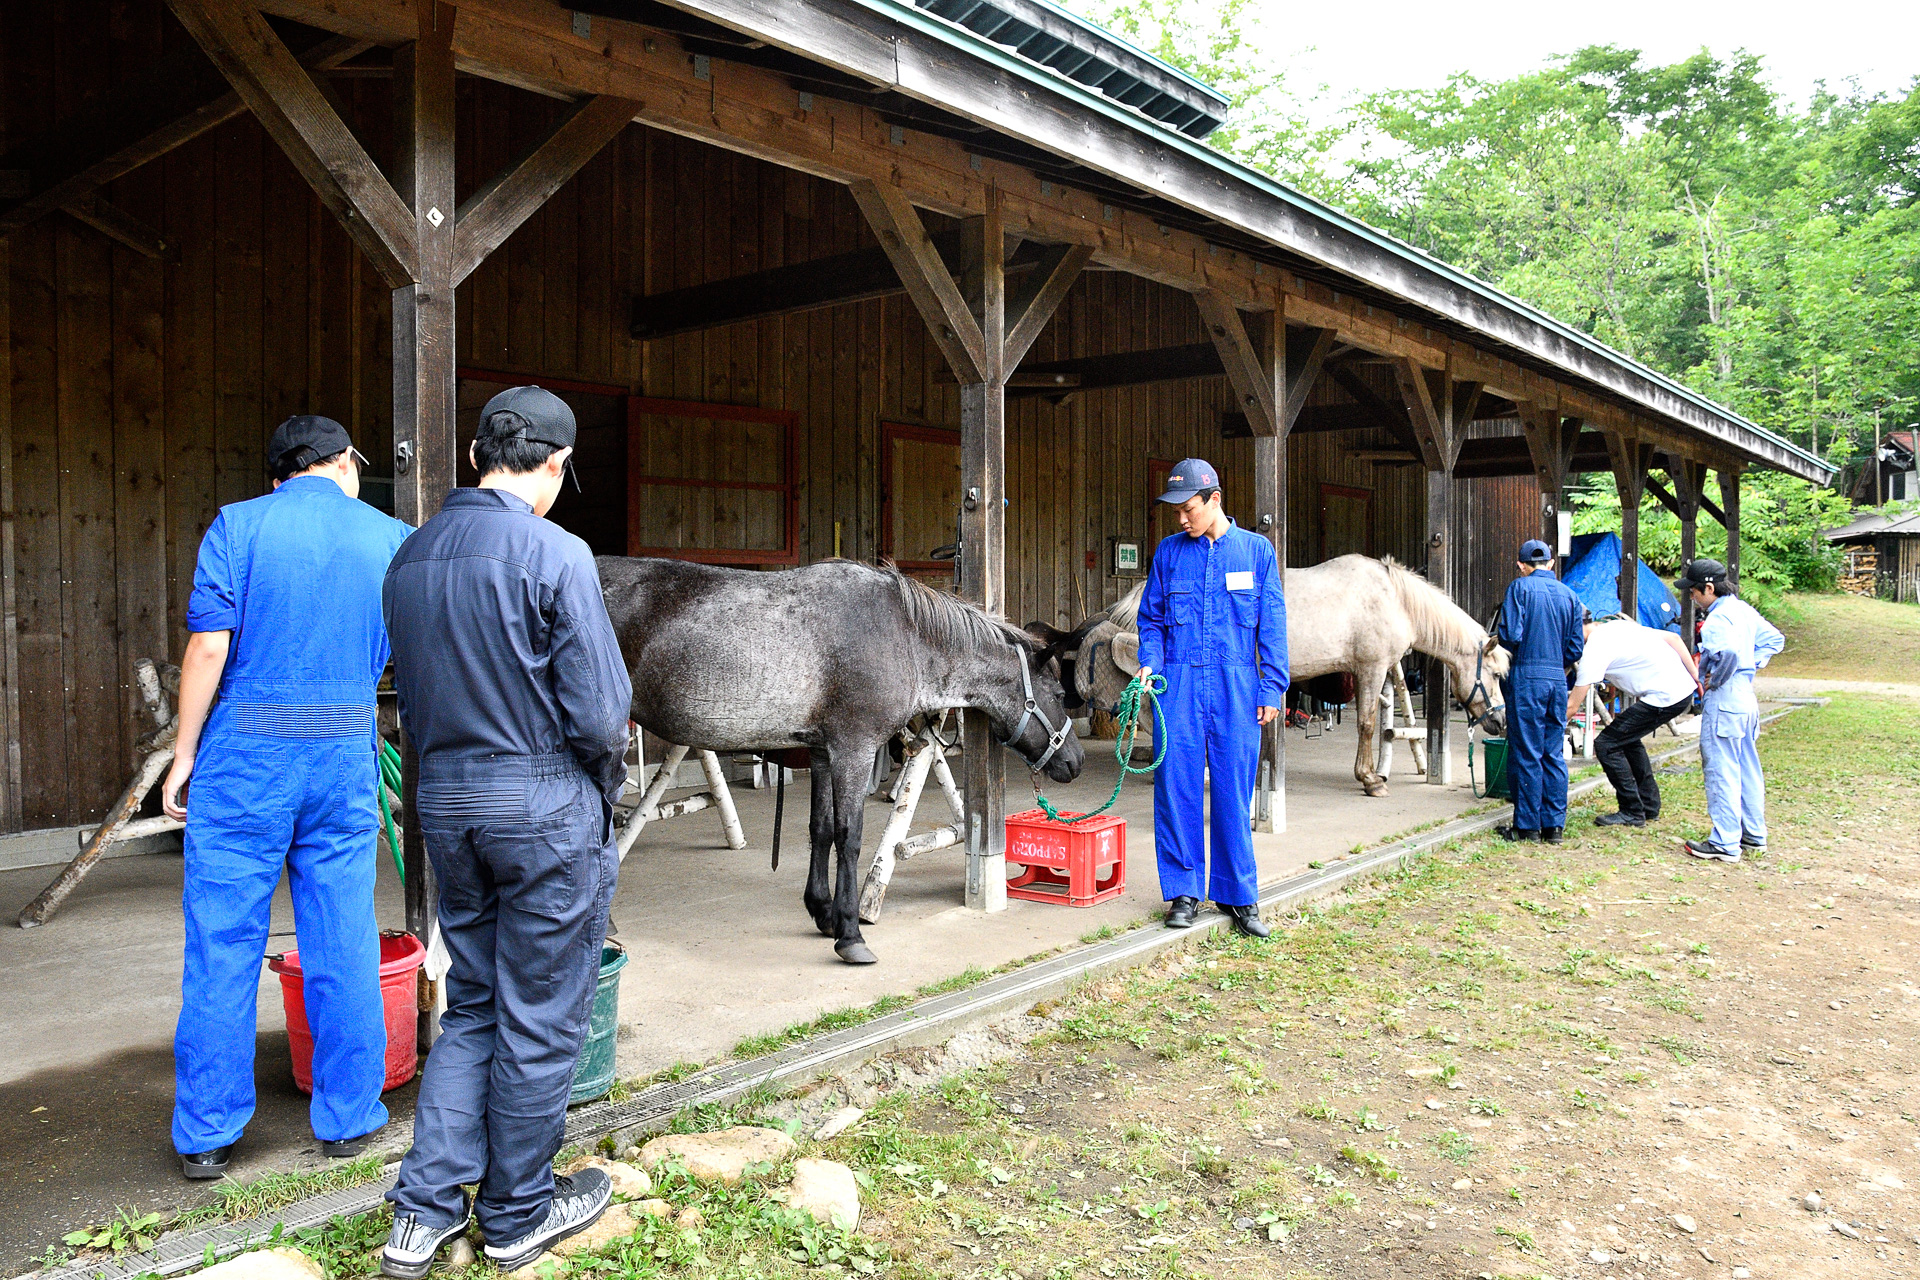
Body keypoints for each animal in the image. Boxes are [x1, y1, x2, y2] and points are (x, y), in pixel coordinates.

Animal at [597, 557, 1086, 964]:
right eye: (1059, 694)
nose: (1075, 762)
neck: (903, 634)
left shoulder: (822, 753)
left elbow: (822, 829)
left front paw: (822, 911)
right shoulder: (854, 750)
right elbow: (850, 837)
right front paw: (850, 933)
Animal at [1044, 554, 1507, 798]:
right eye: (1495, 672)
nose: (1500, 721)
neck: (1393, 598)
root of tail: (1142, 592)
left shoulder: (1379, 670)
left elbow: (1381, 722)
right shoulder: (1371, 668)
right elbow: (1367, 724)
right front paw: (1371, 779)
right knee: (1131, 666)